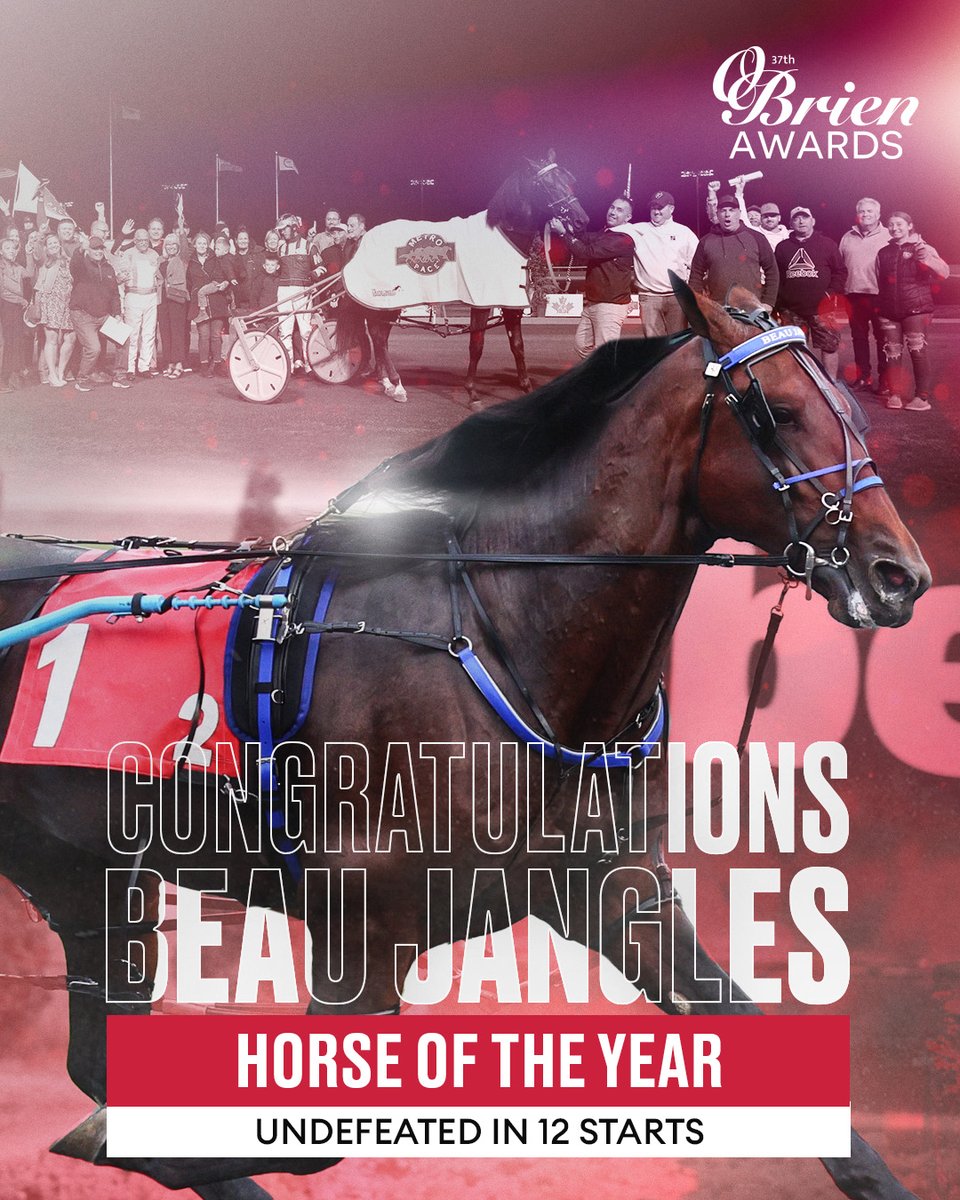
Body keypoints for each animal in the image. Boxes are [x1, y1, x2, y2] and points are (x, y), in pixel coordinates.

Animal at [0, 277, 931, 1200]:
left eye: (853, 406)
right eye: (778, 410)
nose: (900, 574)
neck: (508, 642)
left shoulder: (616, 890)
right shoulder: (363, 928)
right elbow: (309, 1131)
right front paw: (114, 1139)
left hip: (92, 876)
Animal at [336, 151, 587, 404]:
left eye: (569, 180)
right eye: (548, 184)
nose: (581, 221)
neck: (502, 238)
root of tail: (364, 240)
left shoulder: (510, 301)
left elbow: (517, 345)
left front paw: (525, 386)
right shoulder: (481, 301)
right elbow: (477, 345)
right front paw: (472, 391)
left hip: (385, 304)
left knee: (380, 337)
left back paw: (387, 382)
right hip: (385, 299)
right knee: (379, 338)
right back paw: (396, 384)